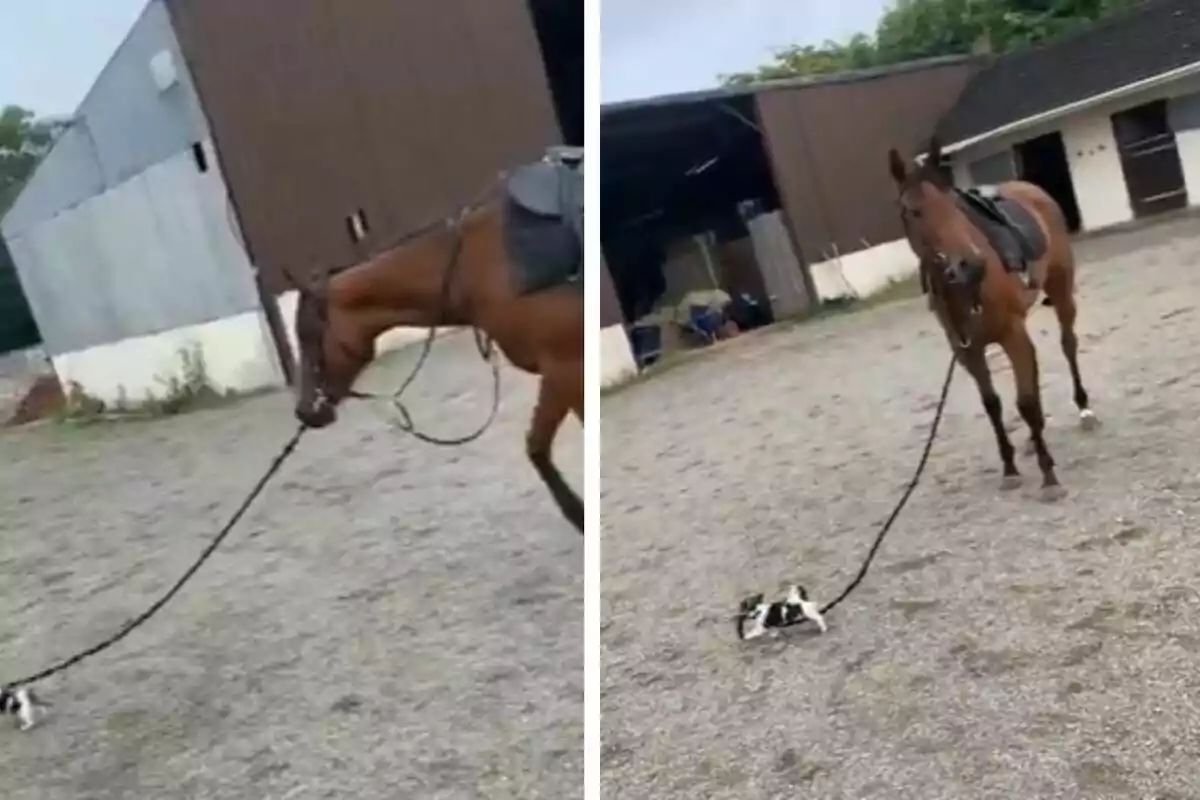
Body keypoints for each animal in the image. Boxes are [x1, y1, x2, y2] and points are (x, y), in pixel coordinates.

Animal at [292, 153, 588, 534]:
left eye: (308, 334)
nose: (305, 410)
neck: (481, 263)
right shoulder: (557, 373)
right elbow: (536, 447)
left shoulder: (569, 366)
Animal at [892, 136, 1099, 501]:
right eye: (913, 211)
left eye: (952, 206)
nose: (970, 265)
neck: (966, 291)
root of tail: (1030, 189)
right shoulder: (966, 350)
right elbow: (992, 404)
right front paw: (1010, 469)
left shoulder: (1011, 334)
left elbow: (1026, 402)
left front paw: (1049, 476)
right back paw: (1033, 437)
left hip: (1061, 294)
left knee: (1068, 345)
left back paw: (1084, 410)